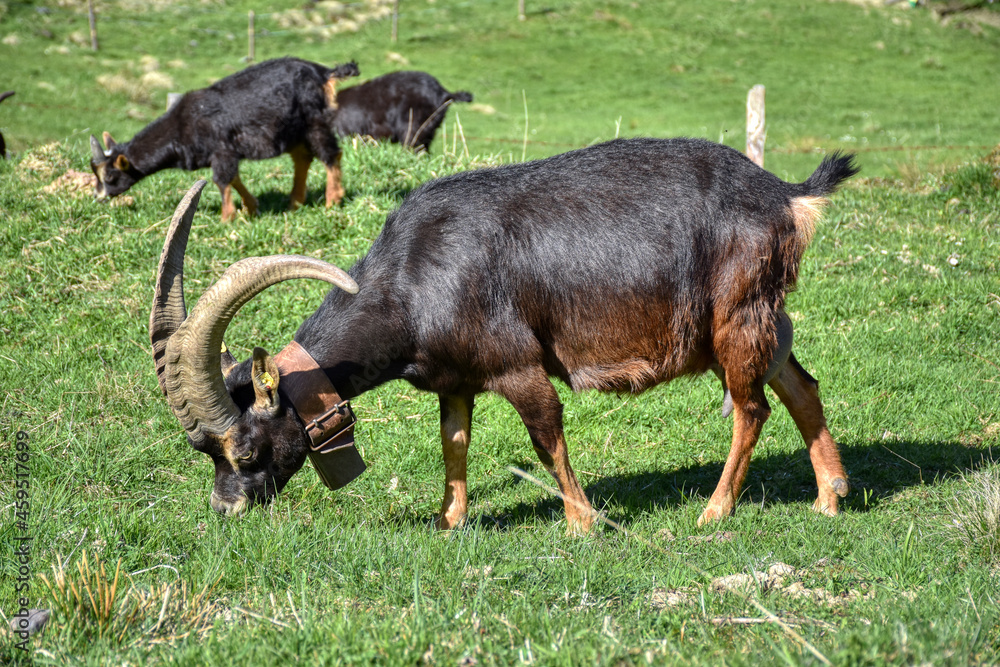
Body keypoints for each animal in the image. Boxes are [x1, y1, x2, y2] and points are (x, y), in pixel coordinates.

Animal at [91, 58, 360, 222]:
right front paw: (250, 207)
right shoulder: (226, 153)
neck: (182, 126)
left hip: (313, 121)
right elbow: (234, 177)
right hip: (294, 130)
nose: (98, 197)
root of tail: (324, 73)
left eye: (110, 177)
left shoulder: (222, 149)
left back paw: (332, 200)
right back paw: (295, 203)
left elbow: (222, 179)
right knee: (302, 158)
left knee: (330, 154)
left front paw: (226, 217)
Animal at [150, 138, 858, 530]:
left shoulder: (518, 365)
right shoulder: (455, 378)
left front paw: (582, 523)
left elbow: (546, 437)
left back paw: (715, 511)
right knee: (801, 385)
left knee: (752, 406)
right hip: (756, 319)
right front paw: (449, 520)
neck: (412, 279)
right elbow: (453, 442)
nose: (226, 509)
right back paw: (830, 497)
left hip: (734, 315)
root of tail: (785, 195)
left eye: (245, 451)